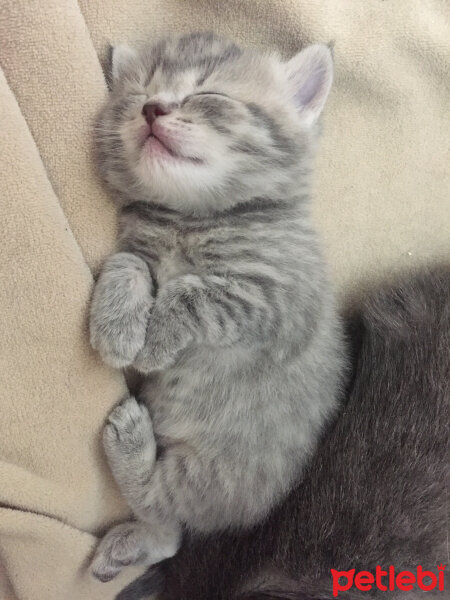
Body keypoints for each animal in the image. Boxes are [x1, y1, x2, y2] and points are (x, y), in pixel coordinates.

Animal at [89, 31, 346, 580]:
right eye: (139, 92)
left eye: (209, 95)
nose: (151, 109)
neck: (191, 220)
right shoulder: (139, 246)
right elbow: (128, 261)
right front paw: (118, 328)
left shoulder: (278, 302)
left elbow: (194, 294)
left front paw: (151, 345)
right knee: (168, 537)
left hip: (213, 474)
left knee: (166, 507)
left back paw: (130, 442)